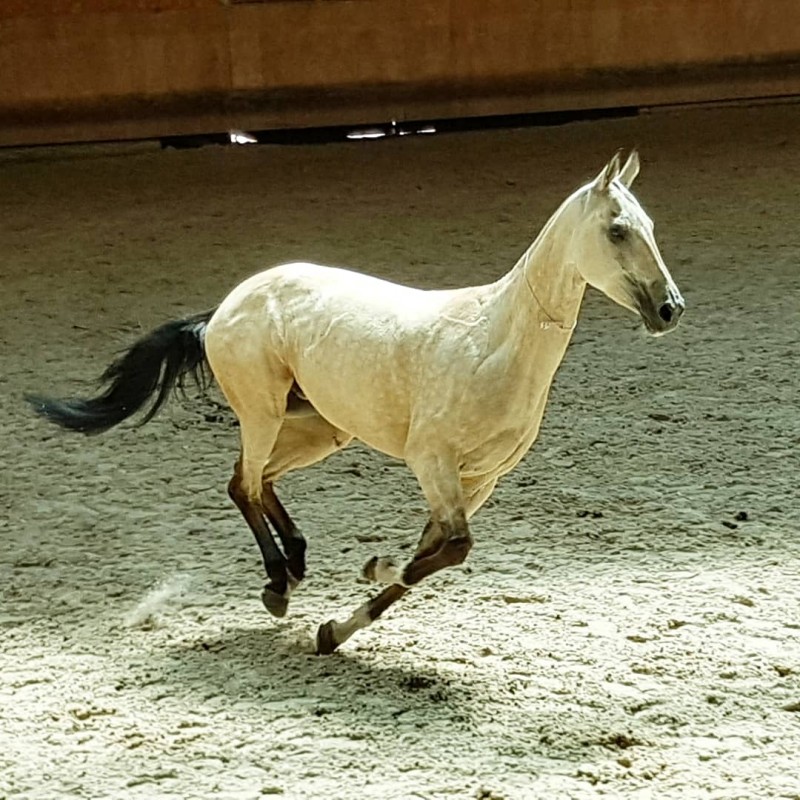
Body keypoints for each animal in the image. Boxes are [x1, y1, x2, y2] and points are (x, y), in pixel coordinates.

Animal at [27, 150, 685, 654]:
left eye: (652, 226)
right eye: (617, 231)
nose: (669, 309)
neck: (493, 341)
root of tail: (223, 309)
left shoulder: (479, 480)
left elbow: (434, 555)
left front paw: (334, 632)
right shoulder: (432, 462)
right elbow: (448, 551)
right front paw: (373, 568)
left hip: (321, 430)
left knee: (257, 480)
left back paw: (293, 567)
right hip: (263, 413)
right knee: (243, 484)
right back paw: (277, 584)